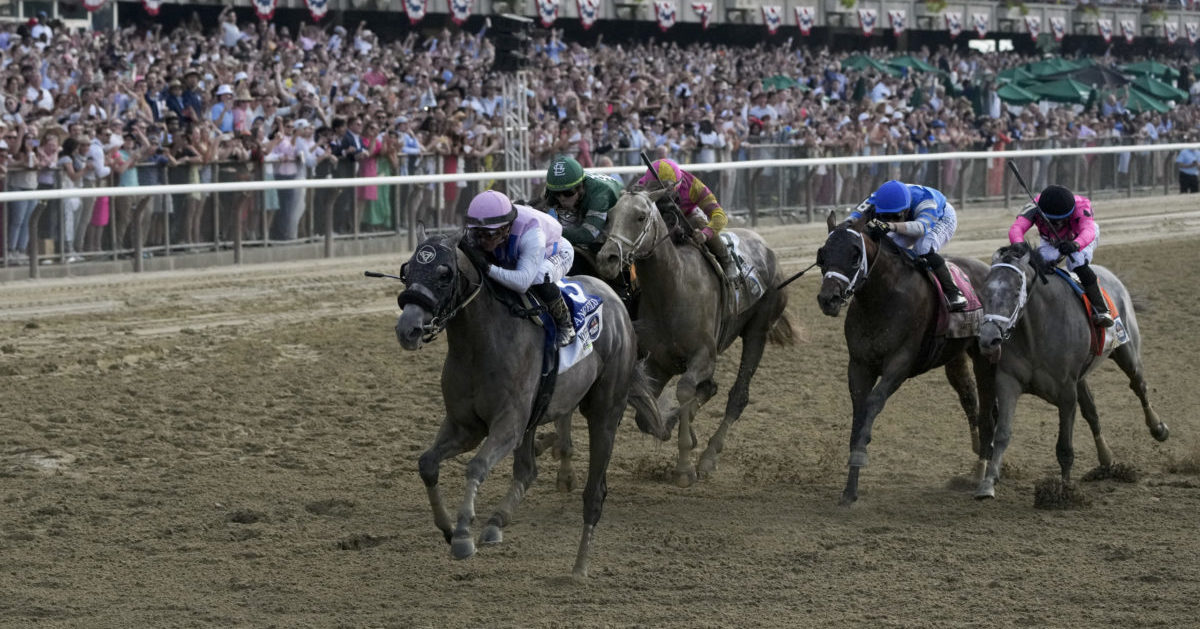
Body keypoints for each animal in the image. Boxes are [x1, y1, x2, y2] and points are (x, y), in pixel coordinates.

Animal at [398, 231, 672, 580]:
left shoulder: (508, 425)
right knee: (528, 471)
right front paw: (447, 527)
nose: (407, 329)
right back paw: (496, 523)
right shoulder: (465, 426)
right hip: (537, 413)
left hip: (604, 412)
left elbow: (476, 466)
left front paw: (462, 536)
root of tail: (616, 301)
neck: (480, 343)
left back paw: (579, 566)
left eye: (445, 273)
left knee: (594, 493)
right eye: (407, 269)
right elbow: (427, 463)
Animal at [592, 189, 796, 489]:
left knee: (738, 395)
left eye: (640, 216)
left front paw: (684, 467)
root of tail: (767, 248)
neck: (674, 287)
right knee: (711, 390)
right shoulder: (658, 362)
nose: (607, 258)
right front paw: (671, 423)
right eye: (610, 215)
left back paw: (709, 457)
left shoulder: (704, 357)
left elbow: (686, 390)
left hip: (757, 332)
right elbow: (646, 417)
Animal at [820, 211, 988, 506]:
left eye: (854, 255)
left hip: (986, 353)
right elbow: (859, 411)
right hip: (955, 355)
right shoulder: (859, 365)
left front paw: (860, 454)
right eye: (823, 254)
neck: (881, 298)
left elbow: (873, 403)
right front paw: (850, 489)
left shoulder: (899, 364)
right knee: (969, 398)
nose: (827, 298)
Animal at [974, 243, 1171, 499]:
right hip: (1081, 377)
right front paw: (988, 482)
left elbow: (1064, 447)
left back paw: (1158, 428)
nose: (988, 339)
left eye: (1017, 290)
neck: (1035, 332)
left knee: (1139, 385)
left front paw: (1064, 491)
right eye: (985, 289)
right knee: (1092, 411)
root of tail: (1112, 277)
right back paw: (1106, 459)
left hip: (1127, 352)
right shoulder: (1009, 381)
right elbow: (1002, 434)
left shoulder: (1066, 391)